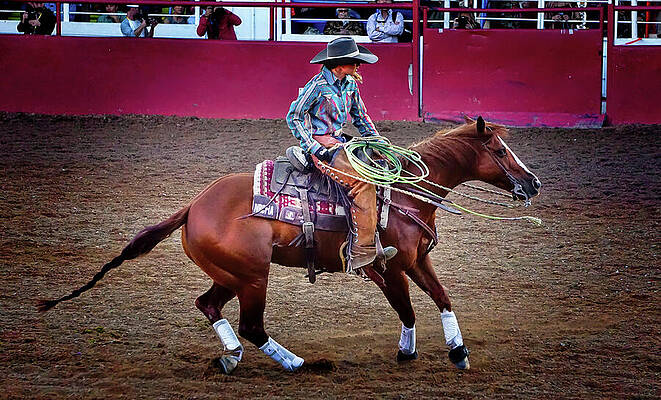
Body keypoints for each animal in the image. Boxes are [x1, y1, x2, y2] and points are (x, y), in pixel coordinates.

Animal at [38, 116, 541, 374]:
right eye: (499, 151)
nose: (533, 183)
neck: (401, 193)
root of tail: (193, 206)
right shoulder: (391, 267)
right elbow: (408, 308)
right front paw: (408, 351)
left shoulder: (417, 261)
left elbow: (441, 298)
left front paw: (457, 351)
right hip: (252, 276)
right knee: (251, 325)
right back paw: (298, 362)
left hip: (232, 275)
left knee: (208, 305)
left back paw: (232, 357)